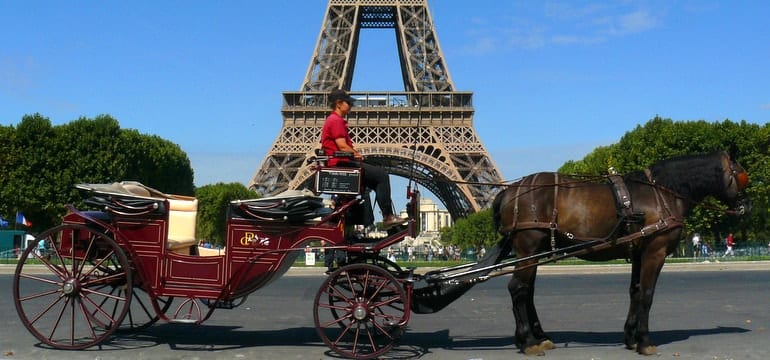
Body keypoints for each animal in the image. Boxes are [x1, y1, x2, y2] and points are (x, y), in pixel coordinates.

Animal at [488, 150, 748, 356]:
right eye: (743, 176)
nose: (748, 205)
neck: (663, 192)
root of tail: (509, 191)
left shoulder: (639, 253)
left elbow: (635, 292)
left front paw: (631, 338)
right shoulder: (655, 251)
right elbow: (647, 294)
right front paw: (644, 341)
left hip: (533, 251)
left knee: (527, 291)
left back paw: (536, 337)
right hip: (528, 247)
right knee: (518, 289)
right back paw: (528, 341)